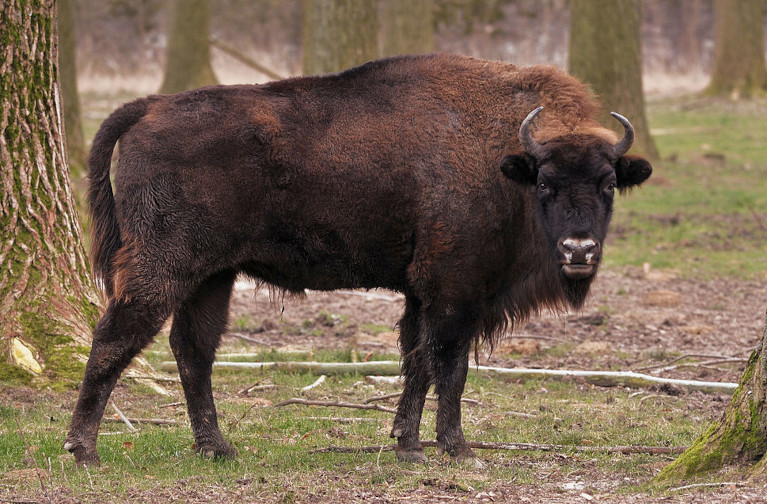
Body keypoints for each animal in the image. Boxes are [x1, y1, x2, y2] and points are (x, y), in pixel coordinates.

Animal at [65, 54, 651, 466]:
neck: (507, 161)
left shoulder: (421, 293)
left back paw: (217, 447)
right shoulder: (453, 290)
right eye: (546, 183)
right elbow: (450, 367)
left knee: (193, 350)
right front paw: (457, 449)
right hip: (163, 265)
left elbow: (417, 362)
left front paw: (406, 445)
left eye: (608, 184)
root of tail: (151, 106)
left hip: (213, 275)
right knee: (116, 336)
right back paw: (83, 448)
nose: (579, 250)